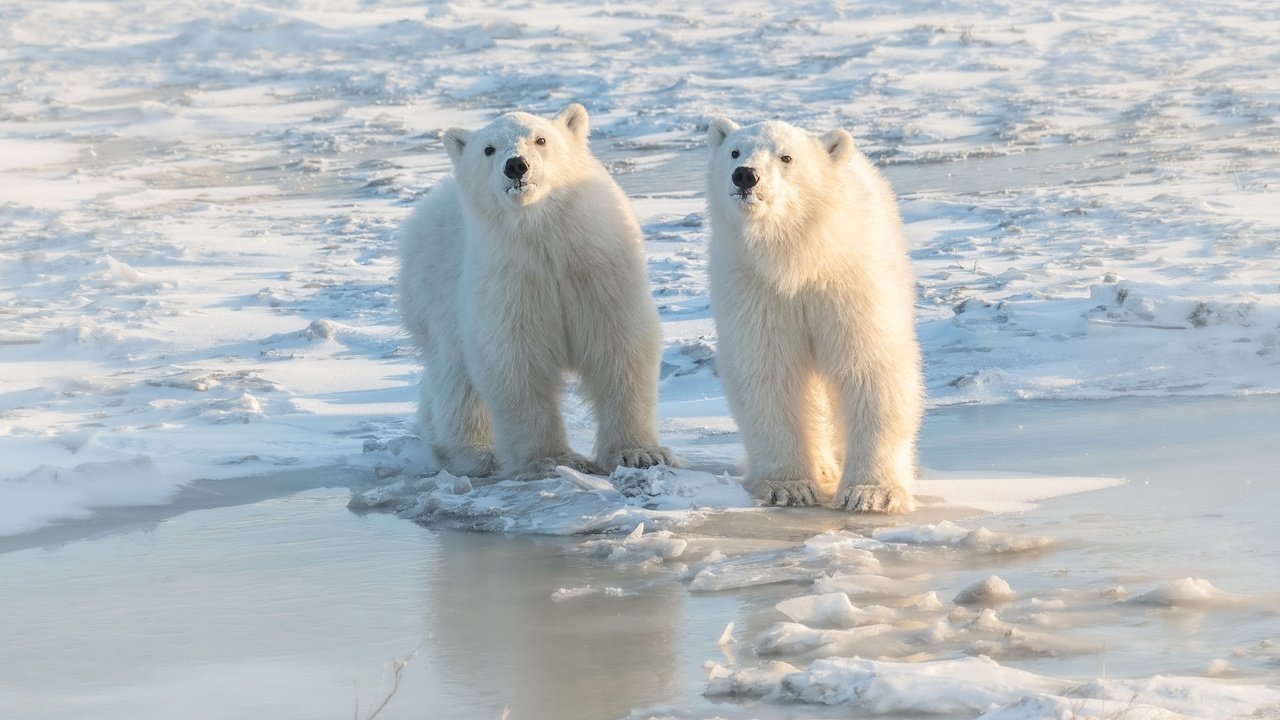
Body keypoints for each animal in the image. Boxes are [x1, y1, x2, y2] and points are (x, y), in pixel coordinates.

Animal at [399, 103, 680, 479]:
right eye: (488, 149)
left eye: (541, 139)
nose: (516, 165)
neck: (546, 239)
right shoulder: (510, 280)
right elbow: (516, 361)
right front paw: (552, 460)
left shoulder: (600, 272)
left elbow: (619, 346)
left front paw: (640, 454)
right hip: (436, 289)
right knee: (455, 375)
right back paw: (473, 454)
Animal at [706, 117, 926, 509]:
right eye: (734, 151)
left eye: (786, 157)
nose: (745, 175)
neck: (799, 258)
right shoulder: (756, 290)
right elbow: (768, 371)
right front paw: (788, 486)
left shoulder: (849, 282)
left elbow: (870, 366)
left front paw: (872, 493)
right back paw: (822, 467)